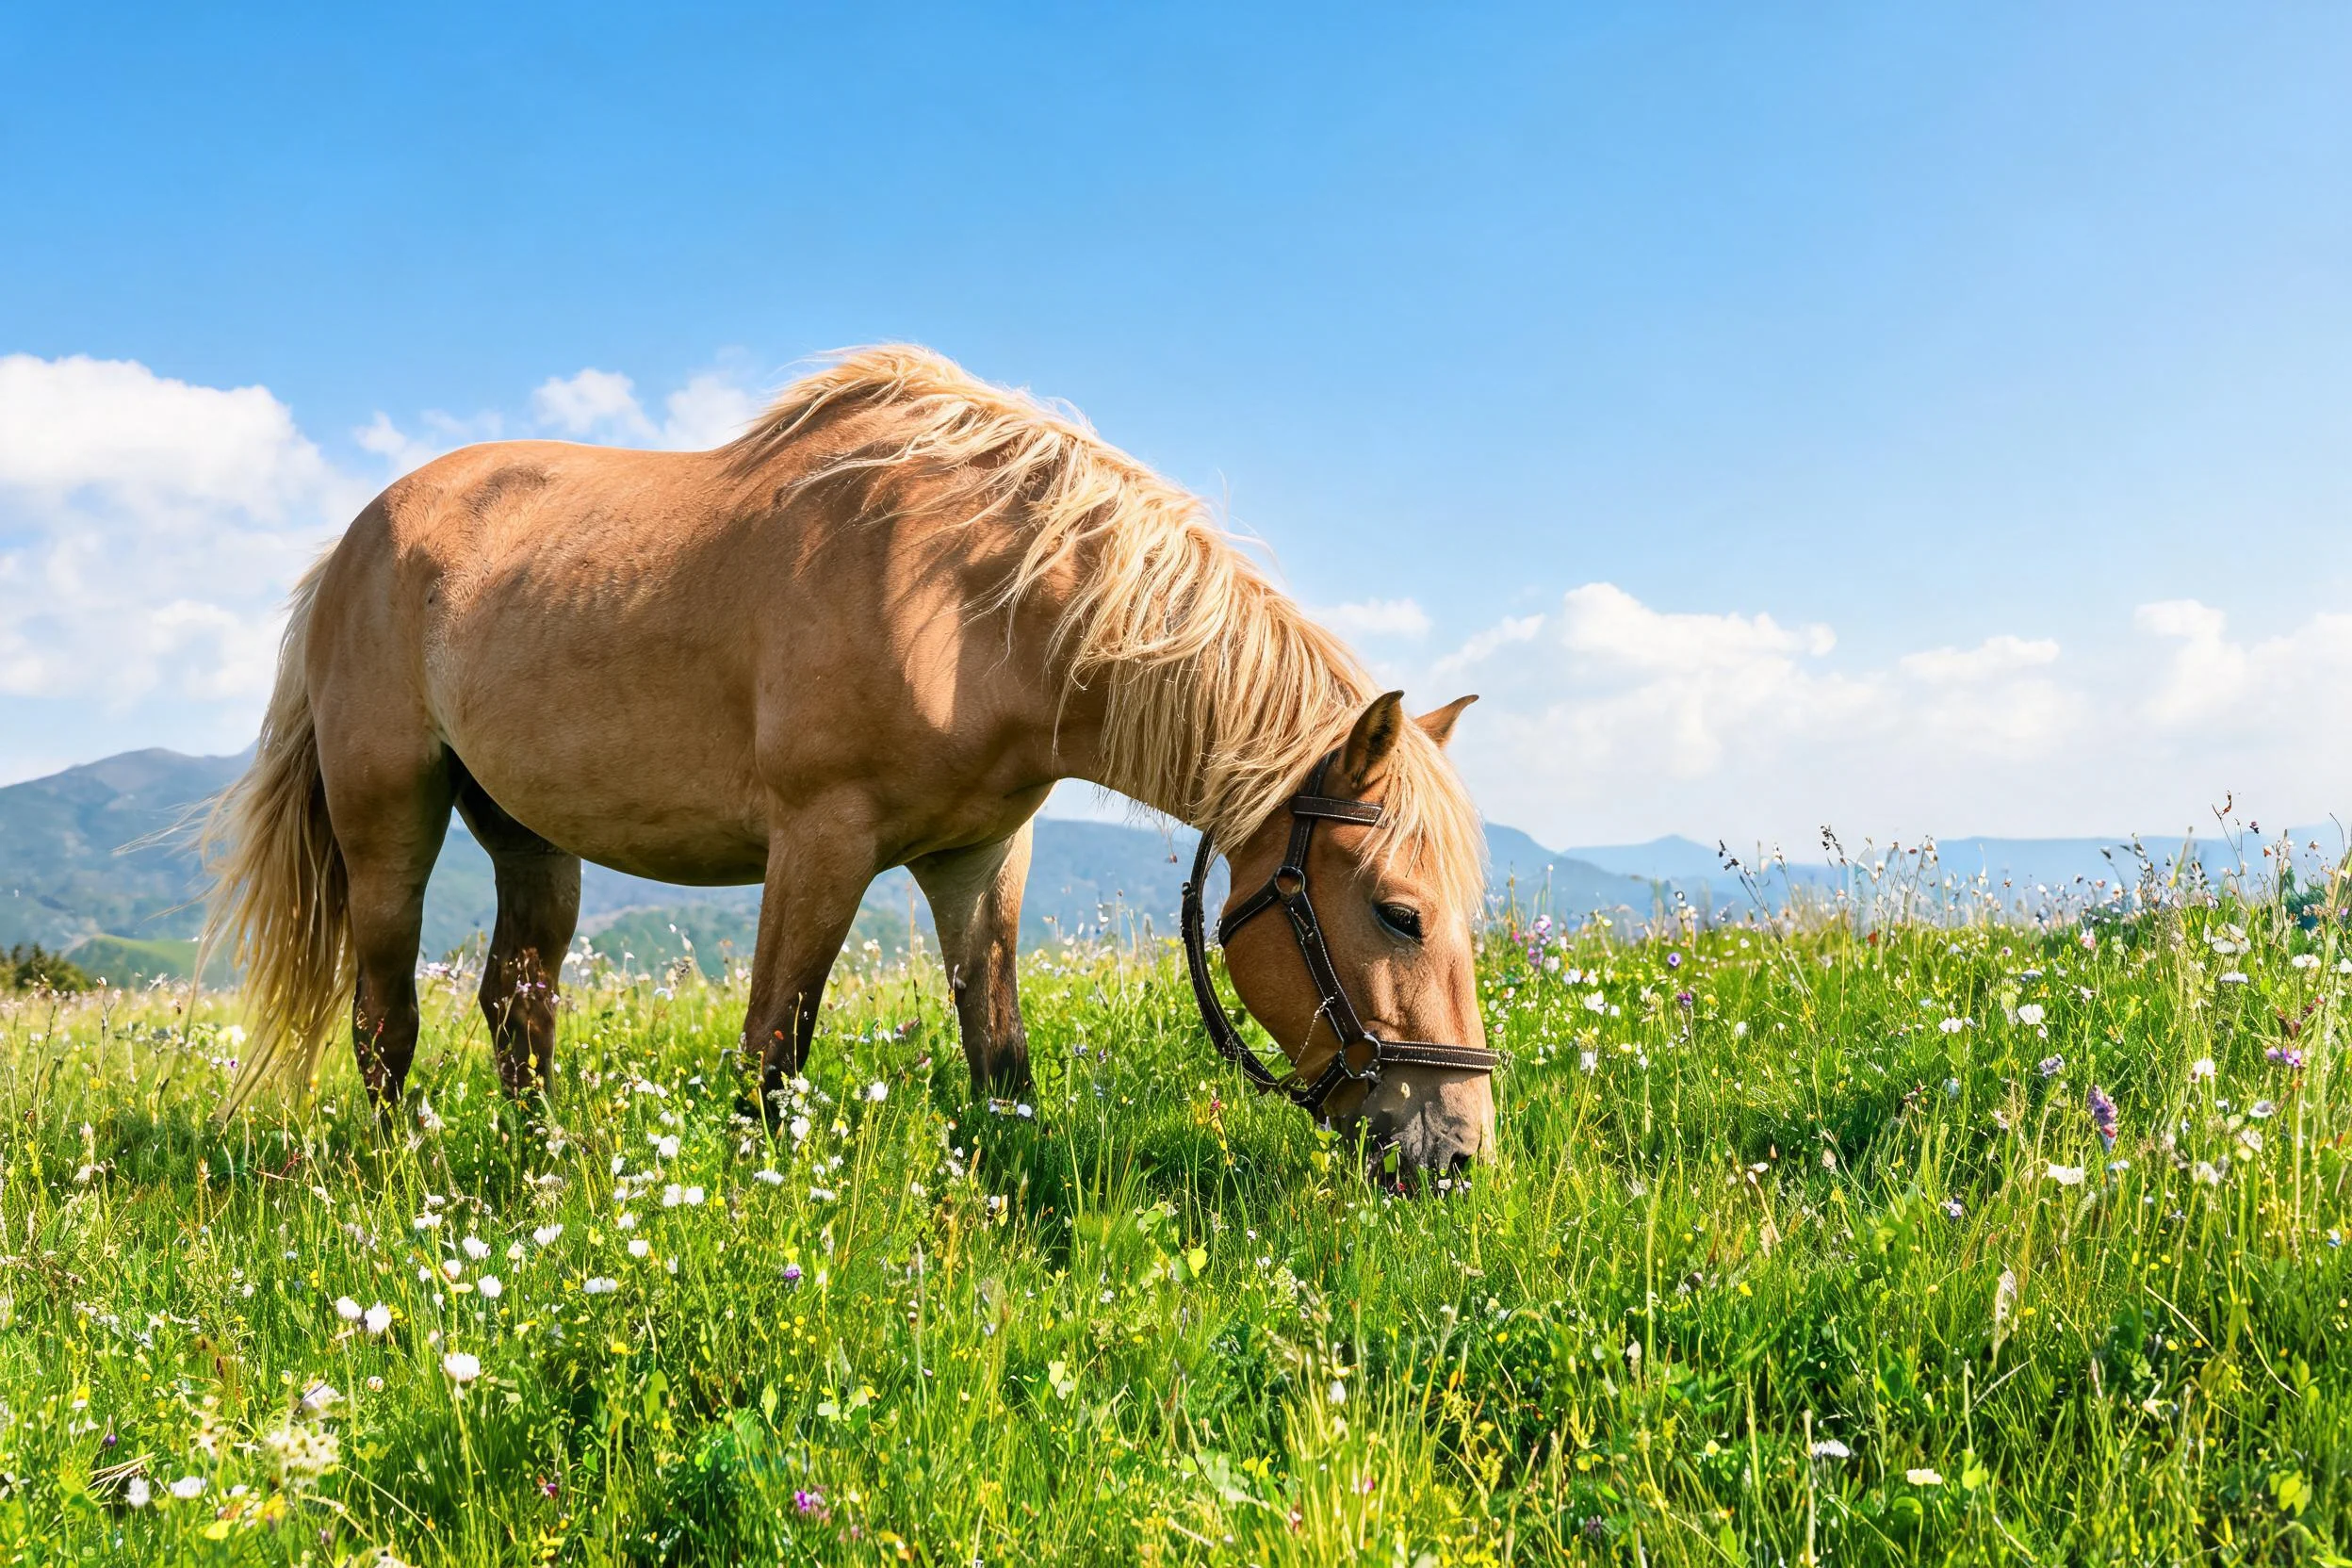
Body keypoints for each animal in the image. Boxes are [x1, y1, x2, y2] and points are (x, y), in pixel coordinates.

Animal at [201, 347, 1498, 1174]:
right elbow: (772, 1055)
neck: (978, 604)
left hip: (528, 836)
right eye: (1399, 912)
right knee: (386, 1022)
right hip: (391, 821)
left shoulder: (980, 860)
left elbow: (1001, 1063)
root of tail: (354, 541)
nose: (1458, 1149)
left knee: (518, 1002)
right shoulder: (819, 840)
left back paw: (540, 1168)